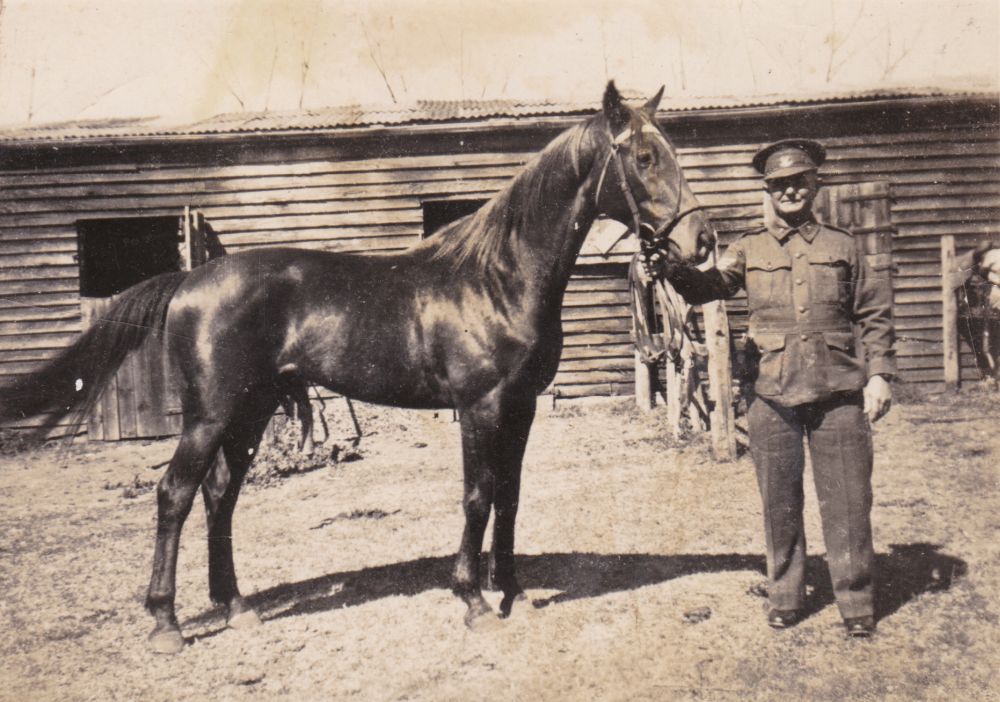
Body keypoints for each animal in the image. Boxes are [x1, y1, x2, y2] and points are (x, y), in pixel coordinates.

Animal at [0, 82, 715, 654]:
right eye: (643, 157)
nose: (700, 241)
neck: (498, 278)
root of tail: (189, 279)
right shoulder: (479, 406)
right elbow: (478, 496)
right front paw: (473, 601)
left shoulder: (523, 406)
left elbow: (509, 497)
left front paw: (511, 592)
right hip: (210, 413)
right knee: (174, 495)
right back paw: (166, 625)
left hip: (254, 409)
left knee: (220, 495)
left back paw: (237, 609)